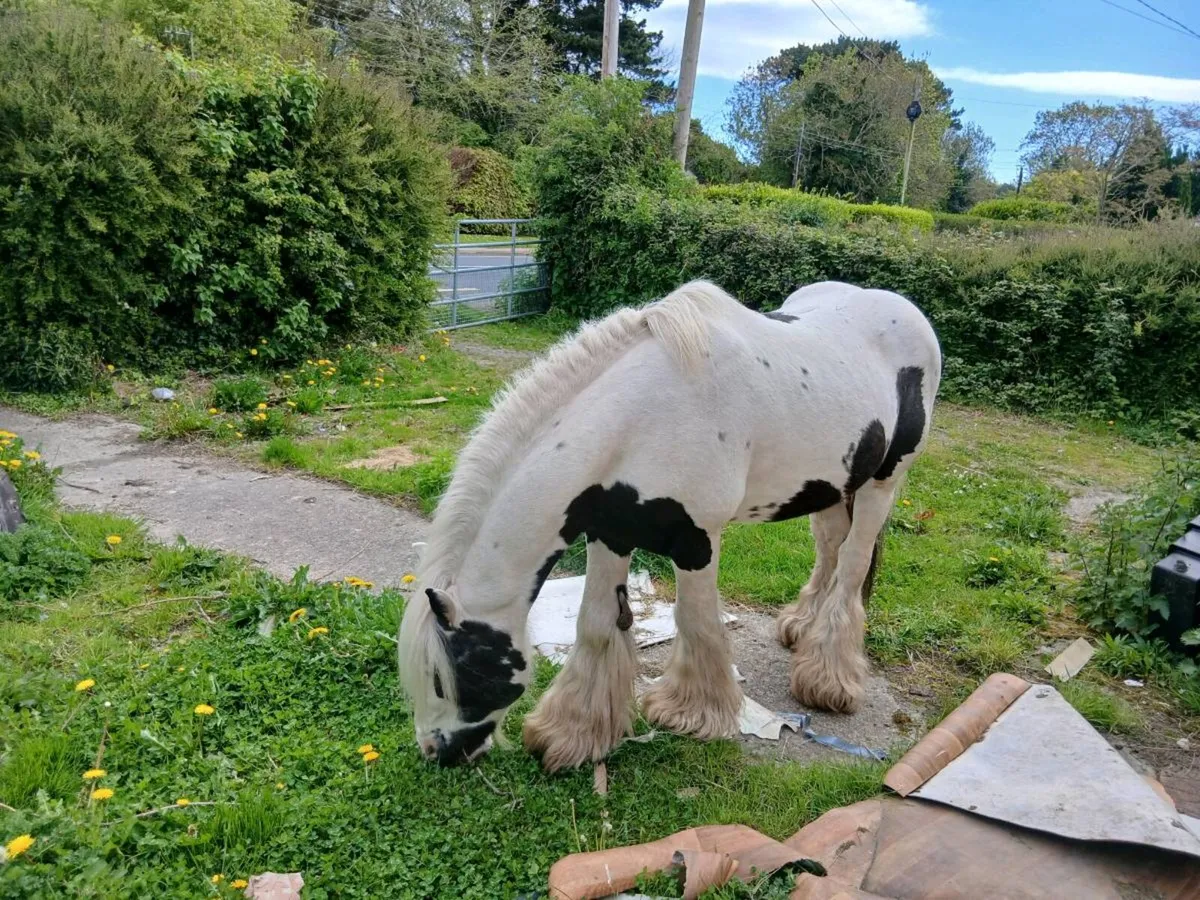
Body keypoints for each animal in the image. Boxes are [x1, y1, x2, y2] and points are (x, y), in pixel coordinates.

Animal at [398, 280, 942, 771]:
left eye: (444, 678)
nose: (436, 753)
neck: (642, 418)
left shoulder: (696, 541)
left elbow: (697, 621)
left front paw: (692, 714)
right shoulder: (609, 533)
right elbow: (595, 623)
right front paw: (572, 734)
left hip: (882, 482)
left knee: (852, 562)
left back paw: (827, 680)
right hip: (831, 484)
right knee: (830, 547)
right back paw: (800, 627)